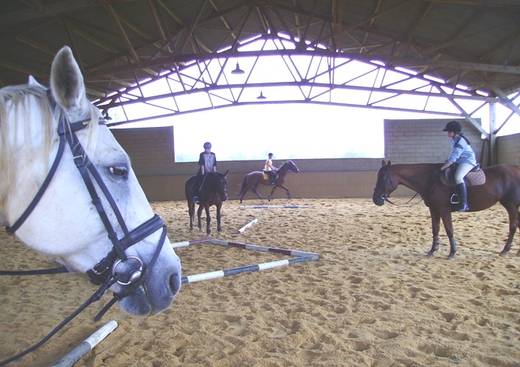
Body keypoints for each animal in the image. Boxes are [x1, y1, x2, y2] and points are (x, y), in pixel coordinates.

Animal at [372, 161, 520, 258]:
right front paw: (432, 250)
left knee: (513, 226)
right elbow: (435, 229)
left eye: (383, 178)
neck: (430, 180)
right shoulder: (434, 210)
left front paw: (452, 253)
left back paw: (505, 250)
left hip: (511, 205)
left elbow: (449, 230)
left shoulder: (443, 210)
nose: (376, 199)